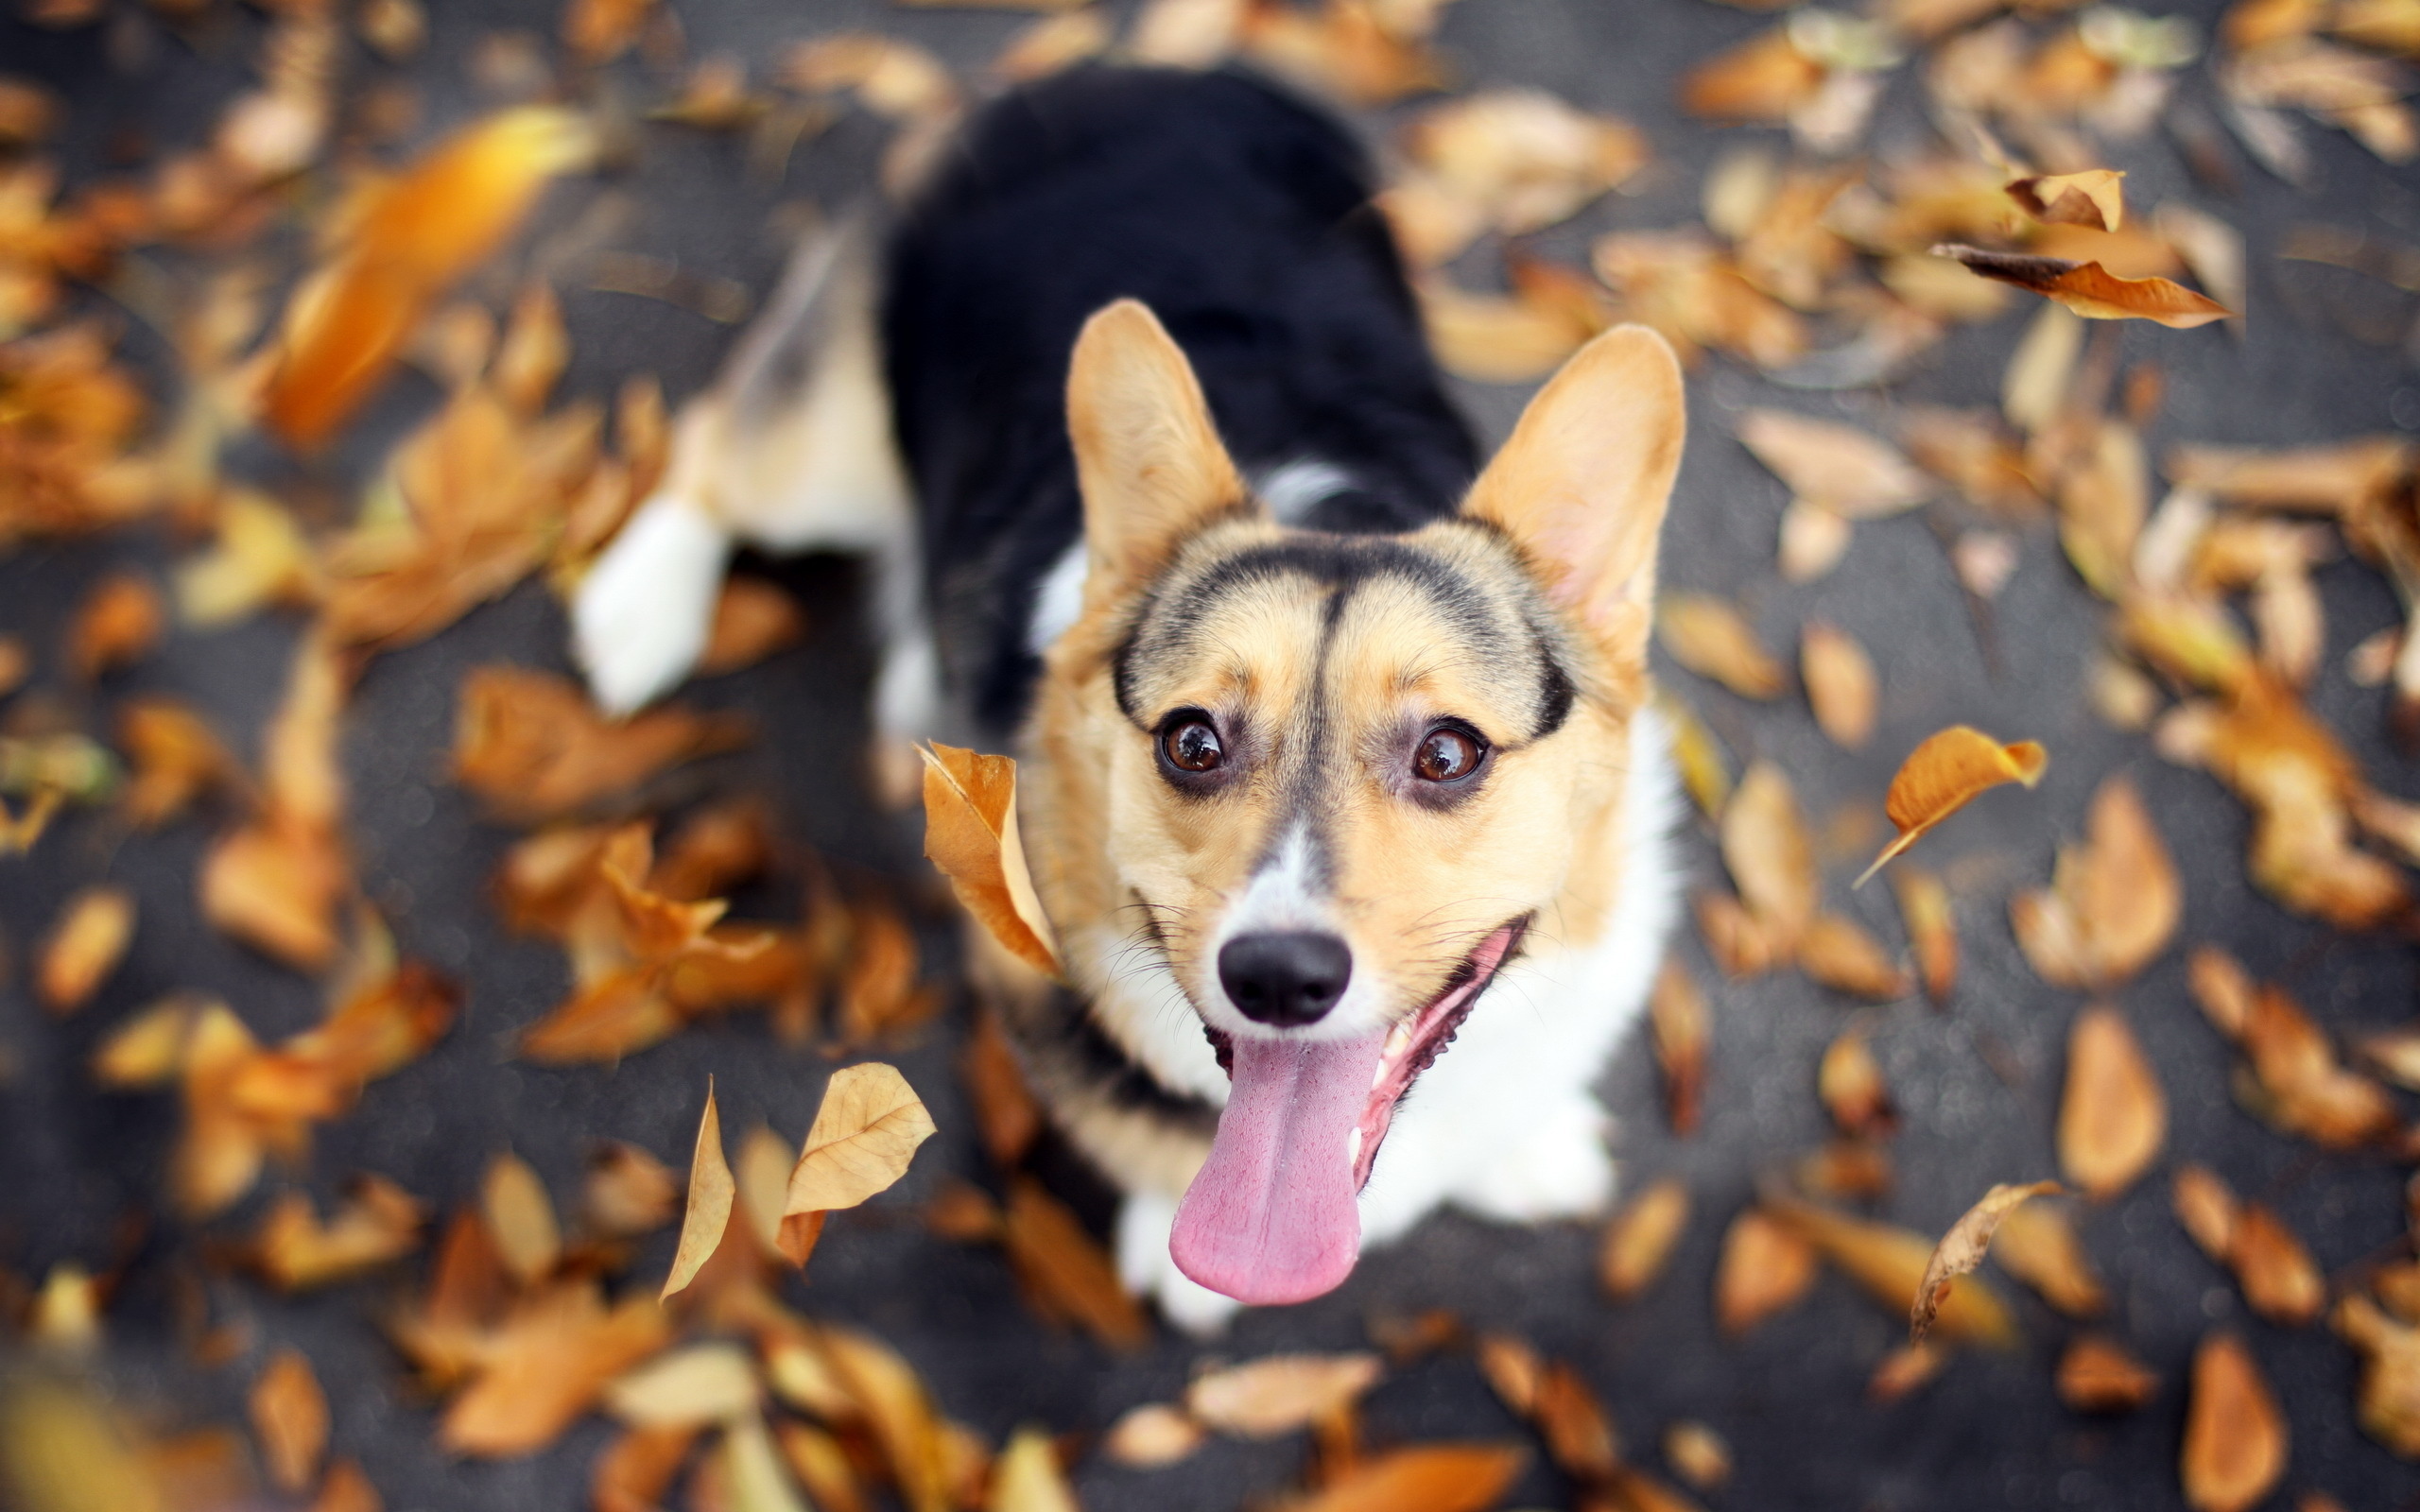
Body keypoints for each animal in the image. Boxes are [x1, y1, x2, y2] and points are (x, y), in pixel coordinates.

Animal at [578, 67, 1694, 1335]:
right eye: (1190, 741)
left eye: (1449, 754)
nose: (1279, 979)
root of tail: (1116, 73)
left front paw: (1524, 1149)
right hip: (830, 451)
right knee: (715, 449)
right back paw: (639, 610)